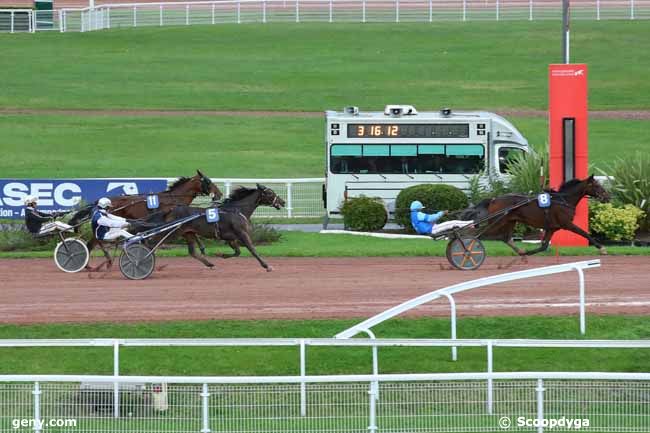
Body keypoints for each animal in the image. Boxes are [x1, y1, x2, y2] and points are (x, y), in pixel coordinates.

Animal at [69, 170, 223, 268]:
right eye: (208, 182)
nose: (219, 194)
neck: (173, 200)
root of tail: (100, 202)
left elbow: (192, 232)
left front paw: (203, 249)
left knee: (96, 241)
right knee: (93, 242)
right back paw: (86, 263)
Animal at [460, 176, 608, 256]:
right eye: (597, 185)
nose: (608, 196)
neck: (563, 200)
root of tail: (493, 199)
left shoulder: (552, 228)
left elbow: (543, 246)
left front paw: (526, 253)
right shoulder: (567, 224)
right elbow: (585, 233)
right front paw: (602, 248)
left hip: (509, 221)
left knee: (505, 238)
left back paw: (520, 252)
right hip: (497, 222)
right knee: (478, 235)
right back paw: (467, 249)